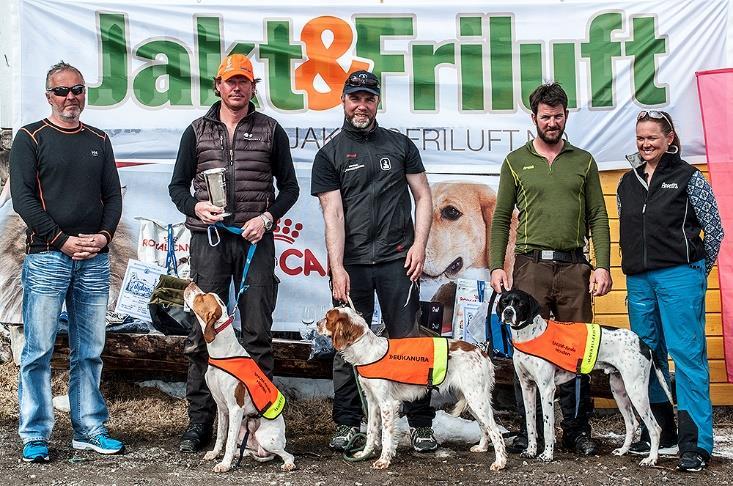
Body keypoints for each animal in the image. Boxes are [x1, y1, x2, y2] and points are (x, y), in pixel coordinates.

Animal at [183, 282, 294, 472]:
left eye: (202, 297)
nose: (191, 283)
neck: (222, 352)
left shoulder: (235, 408)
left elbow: (229, 440)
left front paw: (224, 464)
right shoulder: (221, 407)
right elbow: (221, 436)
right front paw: (215, 454)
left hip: (267, 439)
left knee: (286, 454)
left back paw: (288, 464)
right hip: (245, 433)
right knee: (247, 450)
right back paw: (238, 454)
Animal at [318, 308, 506, 470]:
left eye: (327, 318)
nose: (317, 324)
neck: (367, 351)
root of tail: (482, 352)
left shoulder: (387, 404)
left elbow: (386, 435)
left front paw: (383, 460)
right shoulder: (372, 402)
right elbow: (371, 431)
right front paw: (365, 453)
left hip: (476, 399)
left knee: (495, 430)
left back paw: (500, 462)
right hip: (472, 399)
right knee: (484, 426)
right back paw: (482, 447)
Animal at [494, 290, 672, 466]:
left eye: (520, 303)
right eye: (504, 302)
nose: (508, 312)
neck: (530, 336)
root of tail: (644, 344)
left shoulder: (546, 389)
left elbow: (547, 426)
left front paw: (547, 455)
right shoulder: (527, 387)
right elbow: (531, 423)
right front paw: (531, 451)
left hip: (636, 391)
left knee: (655, 428)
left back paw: (651, 459)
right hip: (619, 390)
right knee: (632, 424)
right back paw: (623, 451)